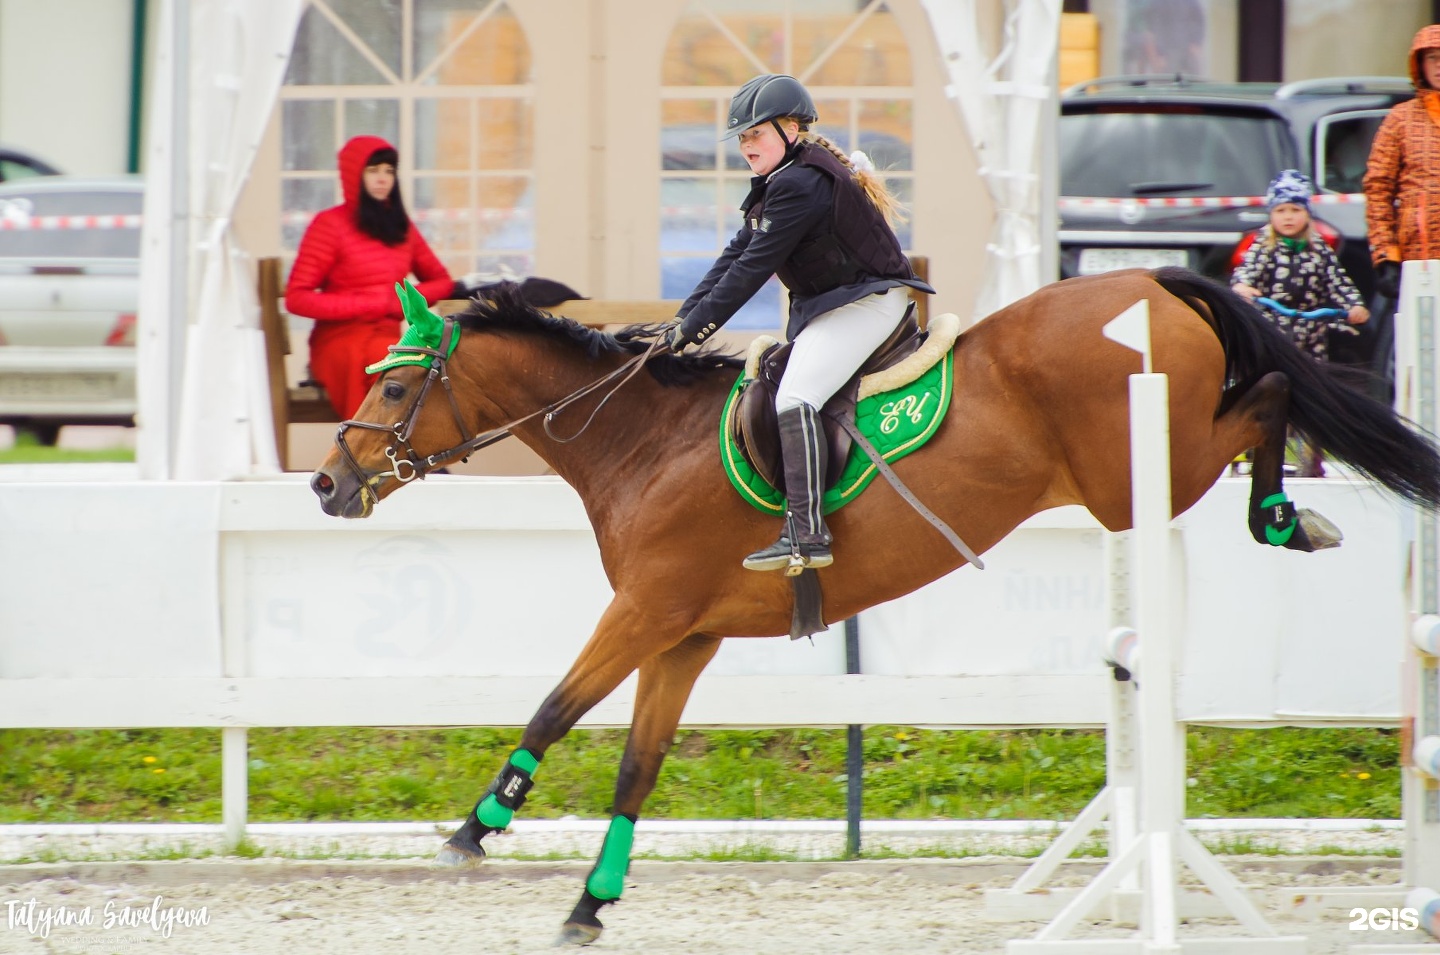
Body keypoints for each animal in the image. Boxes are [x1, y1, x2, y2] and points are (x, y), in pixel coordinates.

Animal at [309, 265, 1440, 944]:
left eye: (395, 385)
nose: (326, 484)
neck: (640, 439)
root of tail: (1148, 276)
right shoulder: (685, 636)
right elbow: (637, 764)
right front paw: (590, 902)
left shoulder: (643, 613)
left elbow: (551, 705)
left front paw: (478, 826)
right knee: (1264, 401)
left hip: (1143, 472)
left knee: (1270, 399)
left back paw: (1290, 512)